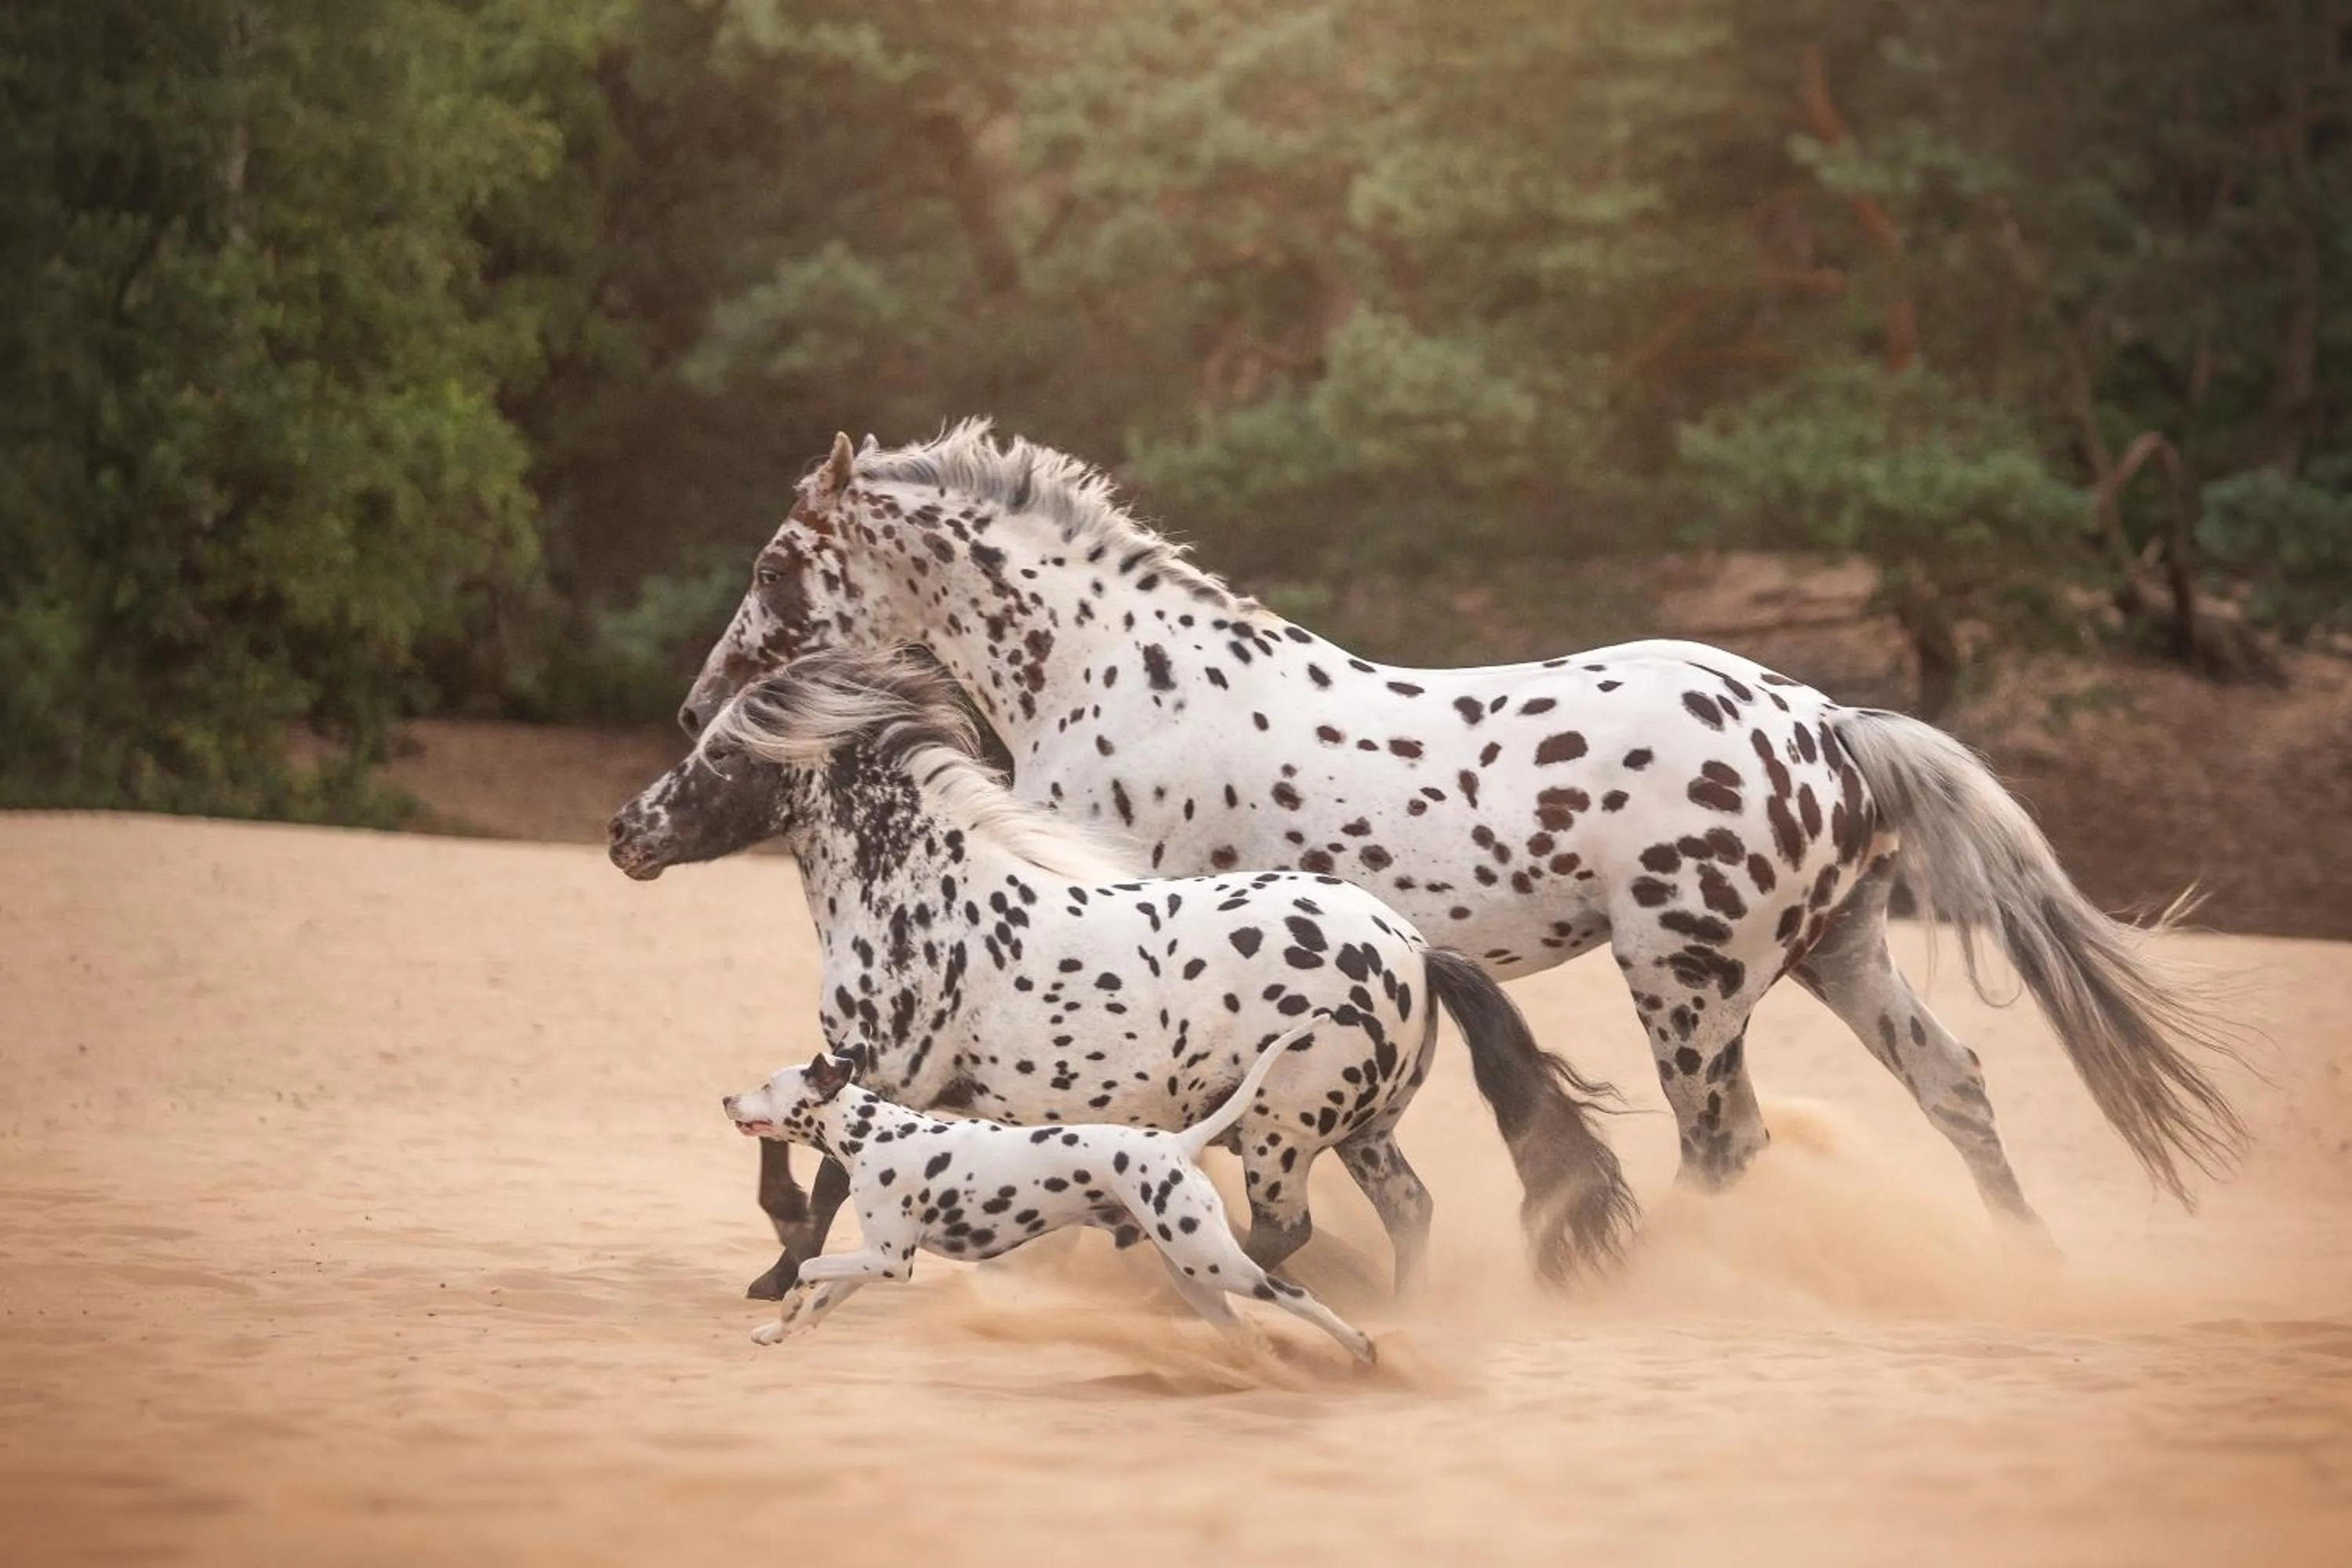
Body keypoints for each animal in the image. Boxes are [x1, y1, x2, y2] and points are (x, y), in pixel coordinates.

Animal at [612, 645, 1635, 1301]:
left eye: (720, 757)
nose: (626, 831)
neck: (920, 891)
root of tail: (1415, 949)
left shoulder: (885, 1067)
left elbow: (814, 1167)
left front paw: (776, 1270)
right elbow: (778, 1128)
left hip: (1281, 1129)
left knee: (1284, 1229)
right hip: (1361, 1130)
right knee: (1410, 1210)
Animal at [672, 420, 2249, 1261]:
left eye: (775, 565)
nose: (695, 704)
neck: (1122, 675)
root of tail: (1824, 724)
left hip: (1688, 985)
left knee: (1724, 1139)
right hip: (1837, 957)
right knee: (1956, 1088)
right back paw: (2024, 1256)